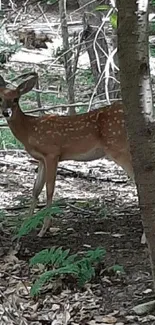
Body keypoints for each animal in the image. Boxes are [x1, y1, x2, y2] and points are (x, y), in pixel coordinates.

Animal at [0, 72, 134, 237]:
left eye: (16, 99)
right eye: (0, 98)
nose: (6, 112)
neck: (30, 131)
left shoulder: (52, 153)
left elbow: (49, 189)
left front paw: (44, 229)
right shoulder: (41, 159)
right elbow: (35, 189)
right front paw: (24, 227)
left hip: (118, 147)